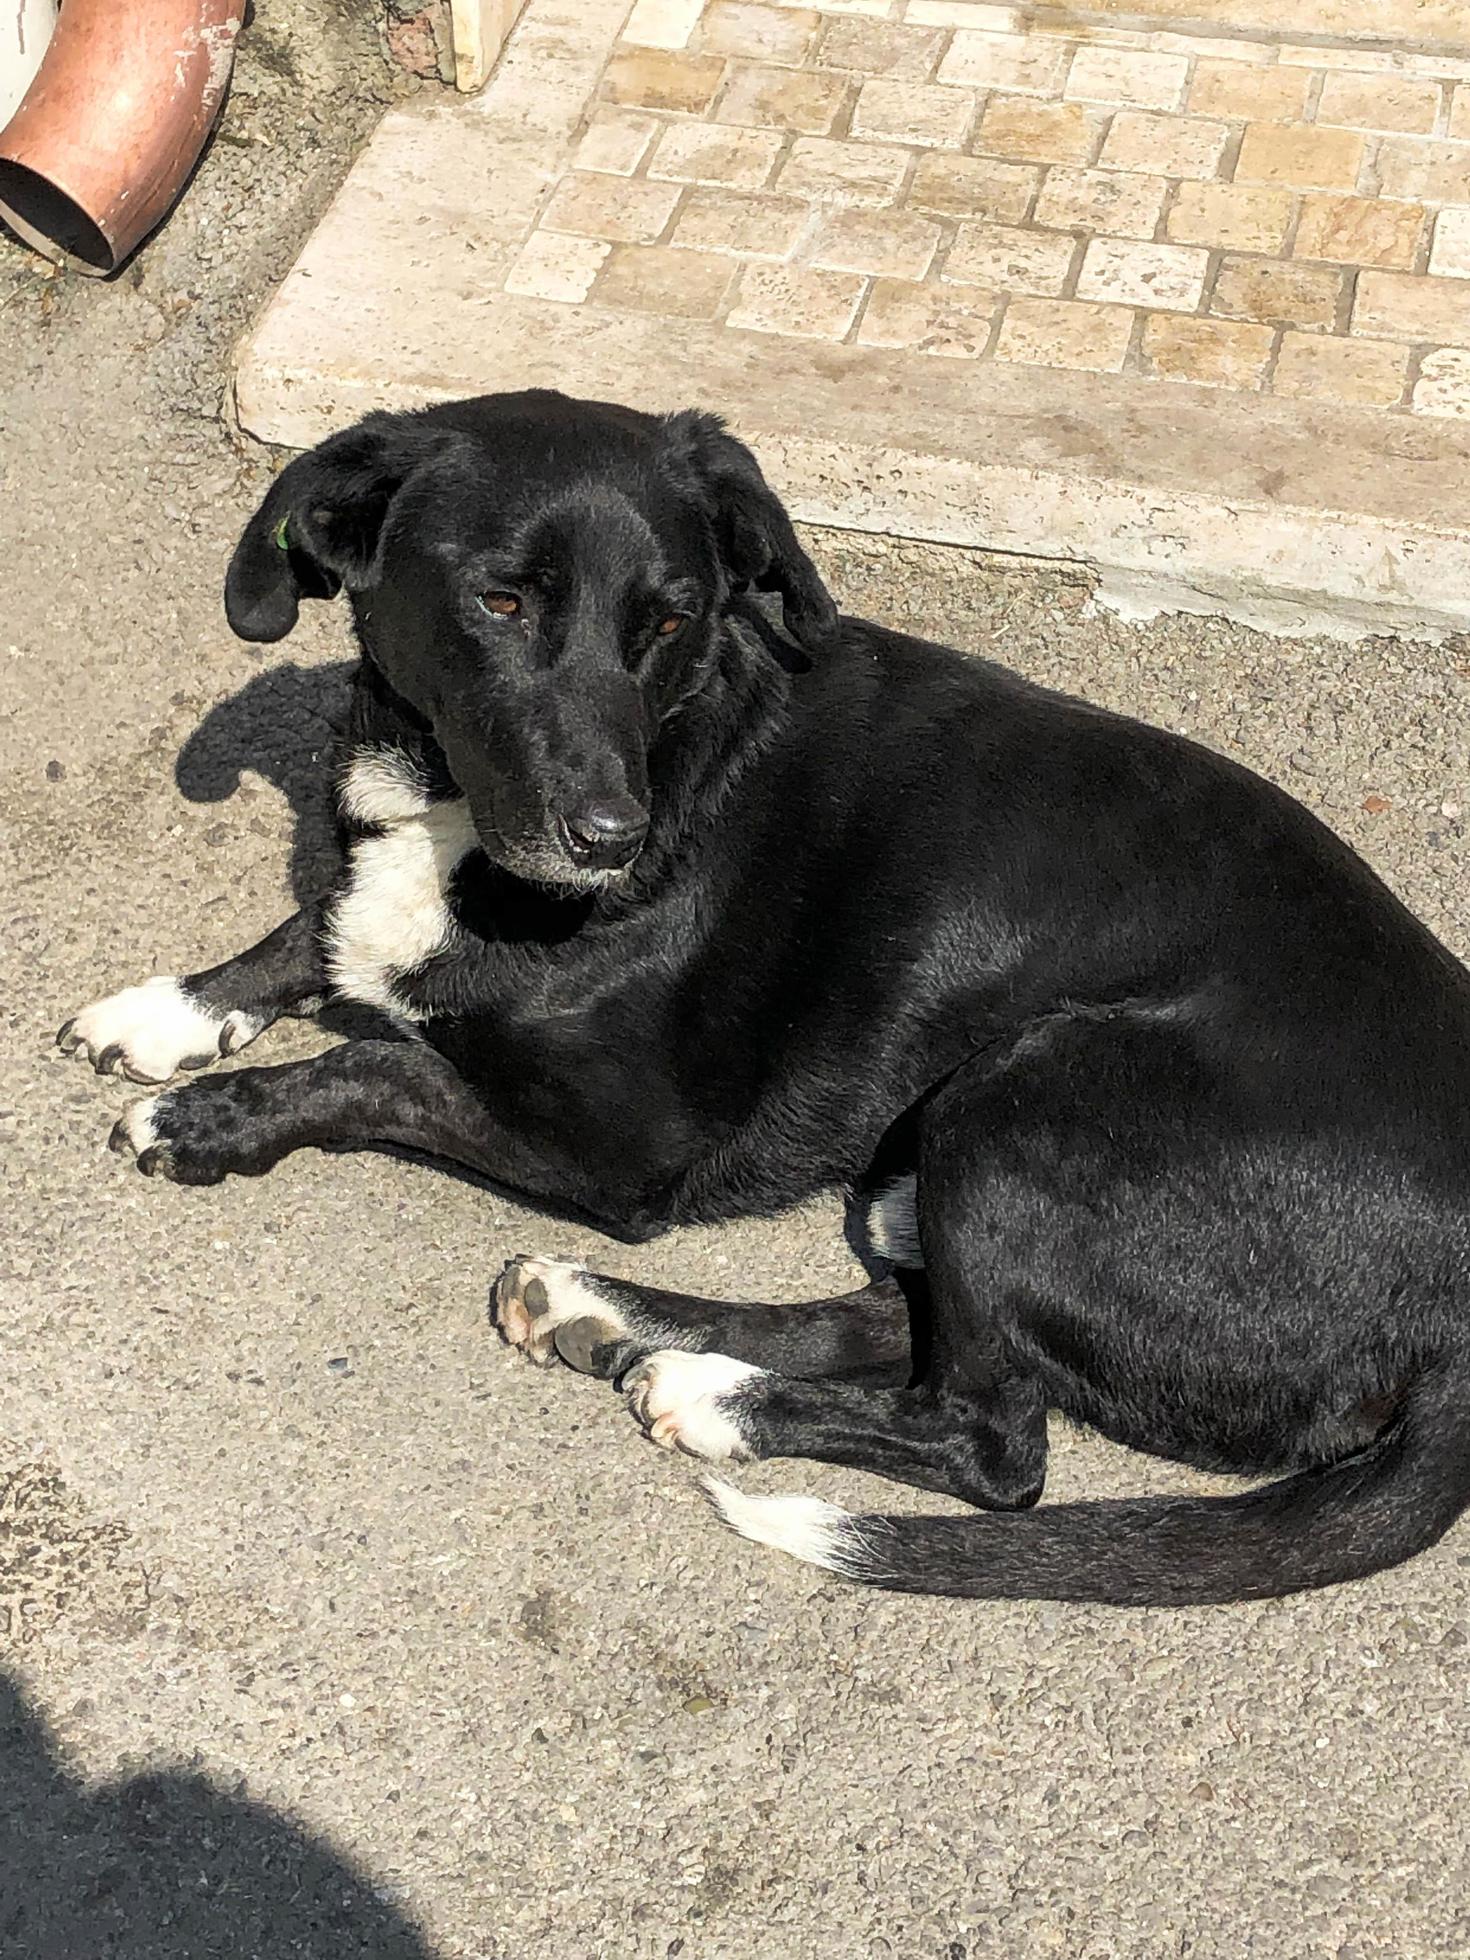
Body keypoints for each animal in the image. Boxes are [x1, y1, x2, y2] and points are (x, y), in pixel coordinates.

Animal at [63, 386, 1470, 1607]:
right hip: (943, 1148)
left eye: (671, 619)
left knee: (991, 1440)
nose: (615, 841)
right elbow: (320, 926)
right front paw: (171, 1009)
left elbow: (378, 1061)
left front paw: (211, 1119)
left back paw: (713, 1396)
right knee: (896, 1314)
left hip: (1022, 1100)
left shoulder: (618, 1148)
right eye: (500, 600)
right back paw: (609, 1314)